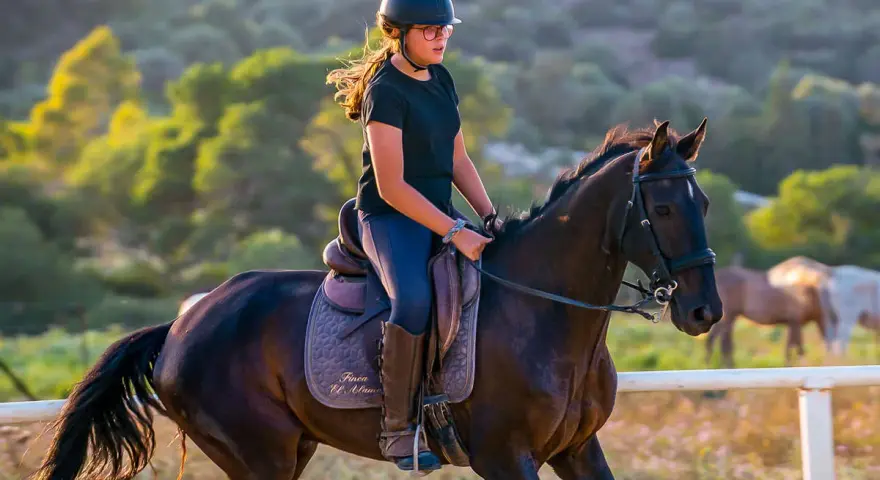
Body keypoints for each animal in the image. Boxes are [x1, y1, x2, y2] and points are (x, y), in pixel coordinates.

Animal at [33, 120, 723, 480]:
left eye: (706, 203)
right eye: (663, 208)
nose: (704, 313)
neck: (546, 317)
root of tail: (180, 325)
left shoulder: (579, 450)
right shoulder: (505, 458)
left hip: (291, 448)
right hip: (260, 456)